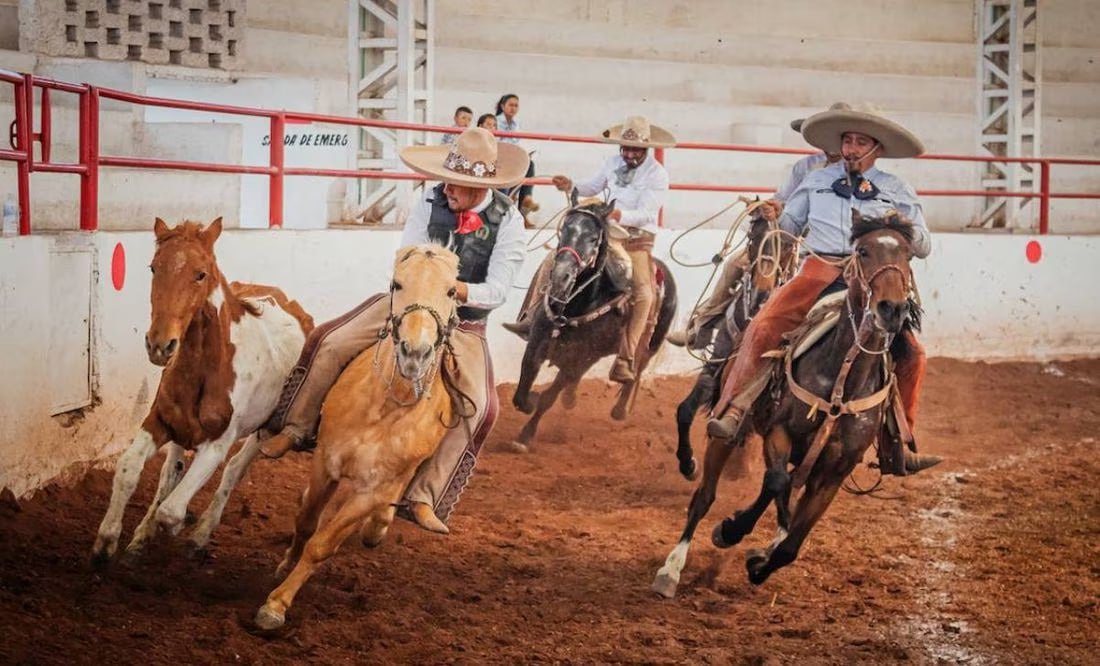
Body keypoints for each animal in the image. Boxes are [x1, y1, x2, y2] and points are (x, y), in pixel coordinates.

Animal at [89, 216, 314, 561]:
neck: (208, 369)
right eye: (154, 267)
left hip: (264, 431)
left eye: (200, 274)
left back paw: (200, 534)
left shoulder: (218, 443)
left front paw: (177, 530)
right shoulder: (159, 422)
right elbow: (129, 470)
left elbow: (172, 510)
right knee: (171, 469)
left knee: (233, 470)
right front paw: (108, 541)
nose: (160, 345)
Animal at [255, 244, 462, 629]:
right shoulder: (326, 463)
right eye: (397, 283)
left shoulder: (372, 491)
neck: (384, 409)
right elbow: (307, 522)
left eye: (452, 291)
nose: (415, 352)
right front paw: (284, 568)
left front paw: (276, 605)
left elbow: (322, 544)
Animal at [510, 198, 673, 451]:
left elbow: (548, 397)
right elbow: (522, 390)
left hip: (649, 345)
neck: (577, 304)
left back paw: (620, 409)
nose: (561, 276)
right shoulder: (537, 343)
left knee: (636, 370)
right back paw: (571, 398)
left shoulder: (579, 359)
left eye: (593, 238)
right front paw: (531, 402)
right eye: (564, 230)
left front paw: (525, 436)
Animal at [668, 212, 792, 477]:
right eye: (754, 236)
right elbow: (685, 409)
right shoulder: (717, 362)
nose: (760, 294)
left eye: (786, 246)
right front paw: (687, 463)